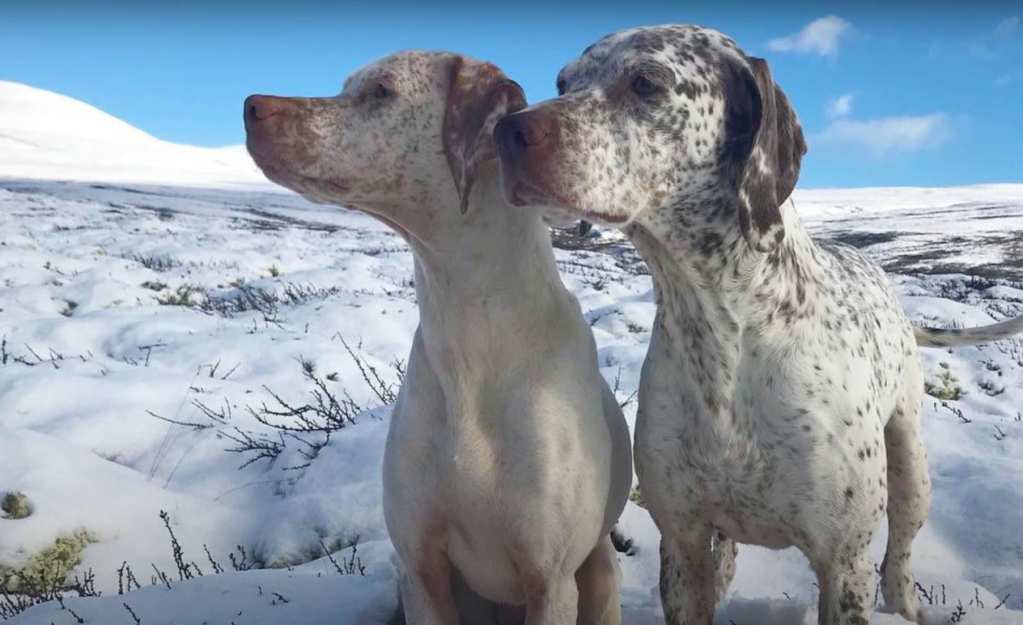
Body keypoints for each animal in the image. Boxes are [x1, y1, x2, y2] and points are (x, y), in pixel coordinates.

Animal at [245, 52, 630, 625]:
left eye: (381, 91)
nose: (251, 106)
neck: (469, 332)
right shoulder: (421, 571)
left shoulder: (550, 581)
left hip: (599, 572)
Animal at [495, 23, 1023, 625]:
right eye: (563, 82)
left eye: (646, 82)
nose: (507, 130)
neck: (725, 334)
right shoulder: (681, 541)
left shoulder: (843, 563)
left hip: (911, 470)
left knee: (901, 557)